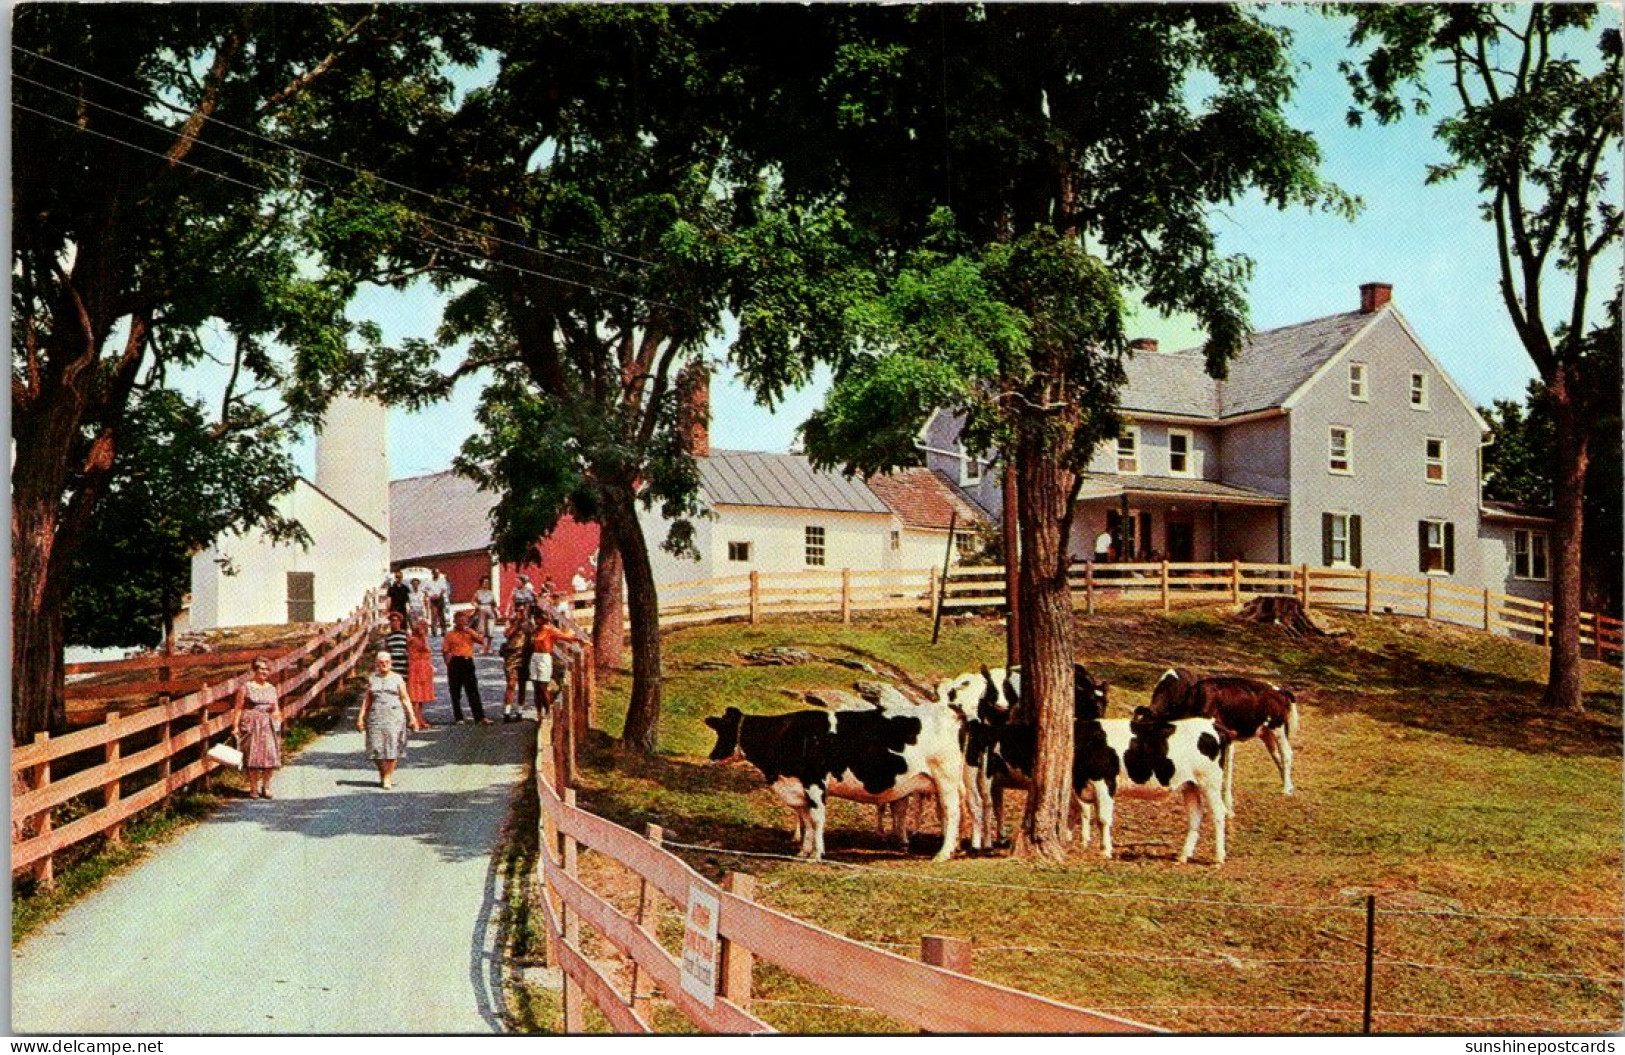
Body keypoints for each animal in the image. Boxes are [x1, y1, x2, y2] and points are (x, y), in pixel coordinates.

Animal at [702, 698, 955, 858]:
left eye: (722, 732)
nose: (711, 757)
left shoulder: (815, 784)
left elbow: (816, 819)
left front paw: (817, 853)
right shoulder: (798, 789)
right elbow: (805, 820)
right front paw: (803, 851)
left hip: (946, 779)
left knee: (951, 813)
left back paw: (943, 853)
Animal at [1150, 669, 1300, 809]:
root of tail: (1281, 690)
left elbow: (1225, 769)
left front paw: (1227, 804)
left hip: (1279, 728)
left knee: (1286, 754)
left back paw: (1286, 789)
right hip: (1266, 733)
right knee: (1276, 755)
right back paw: (1288, 785)